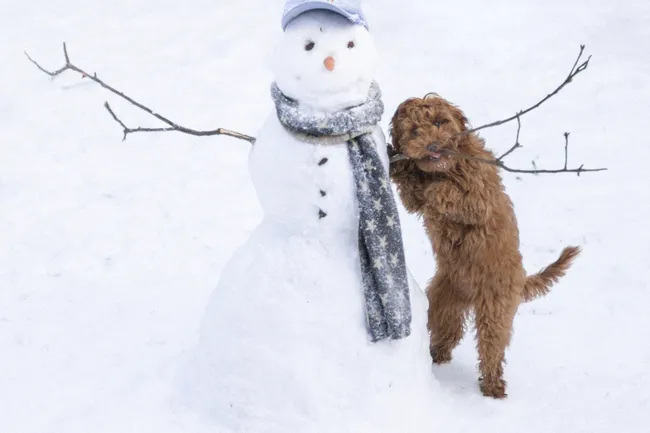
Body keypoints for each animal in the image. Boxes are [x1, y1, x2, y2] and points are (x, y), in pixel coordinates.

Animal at [388, 93, 580, 398]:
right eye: (415, 131)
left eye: (439, 122)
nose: (433, 146)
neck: (446, 168)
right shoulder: (415, 199)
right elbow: (413, 192)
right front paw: (401, 165)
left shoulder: (480, 196)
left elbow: (449, 194)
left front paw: (434, 187)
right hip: (443, 300)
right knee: (447, 331)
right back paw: (436, 355)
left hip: (496, 307)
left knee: (491, 347)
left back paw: (493, 386)